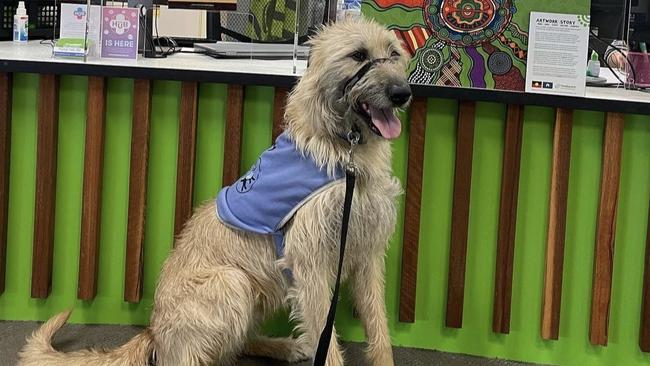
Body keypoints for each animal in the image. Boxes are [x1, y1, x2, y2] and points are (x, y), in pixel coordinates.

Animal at [17, 18, 410, 366]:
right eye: (358, 55)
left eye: (393, 53)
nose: (402, 94)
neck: (345, 150)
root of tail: (153, 331)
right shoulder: (309, 265)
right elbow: (326, 345)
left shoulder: (367, 256)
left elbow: (379, 329)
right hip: (232, 282)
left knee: (240, 342)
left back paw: (283, 346)